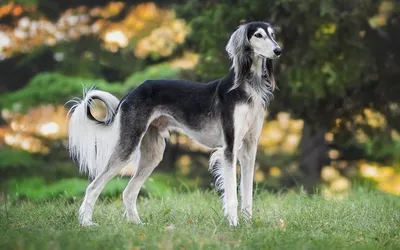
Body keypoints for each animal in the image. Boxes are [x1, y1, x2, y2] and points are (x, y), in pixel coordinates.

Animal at [68, 22, 282, 227]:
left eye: (273, 34)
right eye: (258, 35)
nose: (278, 50)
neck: (247, 87)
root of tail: (132, 92)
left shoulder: (249, 149)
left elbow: (247, 194)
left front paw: (248, 224)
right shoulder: (229, 148)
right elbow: (232, 196)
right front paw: (234, 224)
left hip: (153, 153)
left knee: (128, 192)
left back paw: (137, 224)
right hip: (128, 146)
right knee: (93, 186)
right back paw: (86, 223)